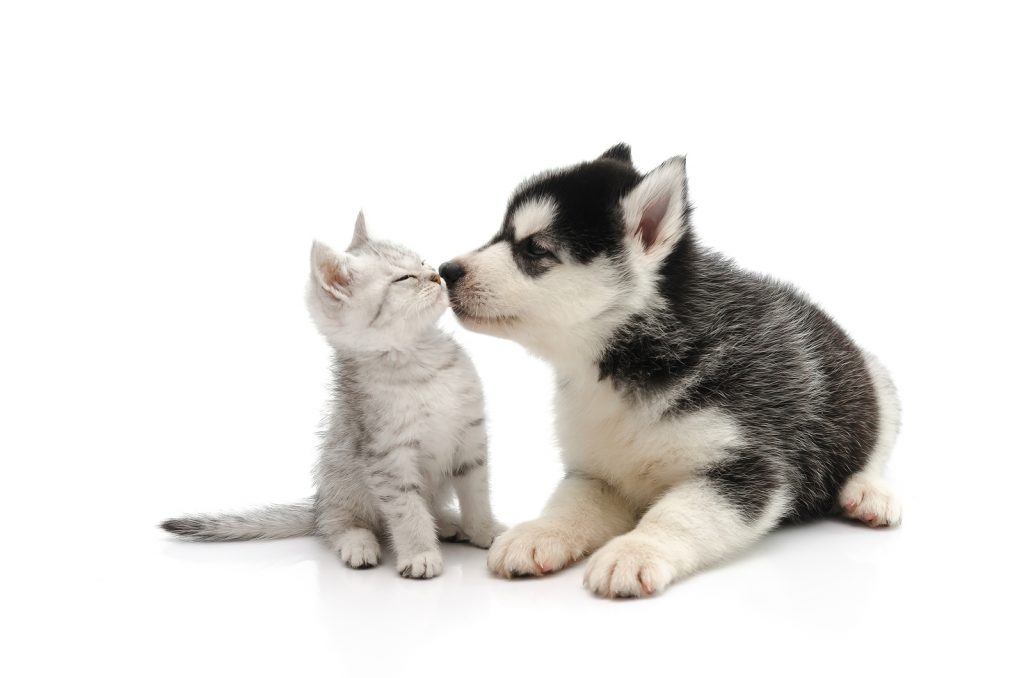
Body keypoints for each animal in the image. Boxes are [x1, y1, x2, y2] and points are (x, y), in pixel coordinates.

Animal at [158, 210, 503, 577]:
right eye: (404, 278)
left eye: (423, 261)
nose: (437, 275)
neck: (422, 360)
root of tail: (317, 504)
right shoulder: (387, 458)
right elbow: (407, 510)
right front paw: (419, 553)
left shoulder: (470, 440)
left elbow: (477, 494)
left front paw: (485, 531)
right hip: (342, 482)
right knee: (338, 525)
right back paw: (359, 544)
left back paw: (449, 523)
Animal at [440, 146, 897, 598]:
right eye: (501, 234)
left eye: (534, 249)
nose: (446, 271)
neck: (625, 365)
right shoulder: (596, 471)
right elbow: (570, 503)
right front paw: (538, 533)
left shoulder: (748, 464)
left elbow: (678, 514)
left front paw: (635, 551)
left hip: (877, 383)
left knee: (877, 447)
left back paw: (869, 493)